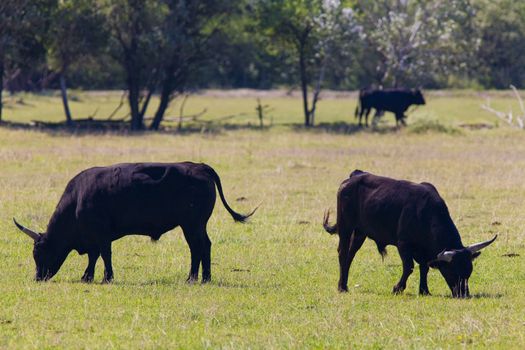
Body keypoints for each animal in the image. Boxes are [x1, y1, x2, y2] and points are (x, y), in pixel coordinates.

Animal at [14, 163, 256, 284]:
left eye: (39, 253)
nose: (38, 277)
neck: (77, 199)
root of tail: (199, 166)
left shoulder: (100, 235)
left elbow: (103, 255)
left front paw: (104, 277)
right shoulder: (95, 237)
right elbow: (95, 256)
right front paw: (88, 276)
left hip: (192, 225)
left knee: (200, 247)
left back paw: (200, 279)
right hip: (194, 226)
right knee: (199, 248)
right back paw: (196, 277)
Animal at [322, 170, 498, 298]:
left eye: (468, 272)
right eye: (453, 270)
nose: (463, 294)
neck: (426, 214)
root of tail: (353, 177)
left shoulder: (423, 252)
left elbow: (424, 268)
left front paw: (424, 290)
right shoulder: (404, 245)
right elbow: (409, 267)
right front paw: (397, 288)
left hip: (360, 233)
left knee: (350, 254)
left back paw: (344, 284)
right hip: (346, 228)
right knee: (342, 253)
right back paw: (342, 287)